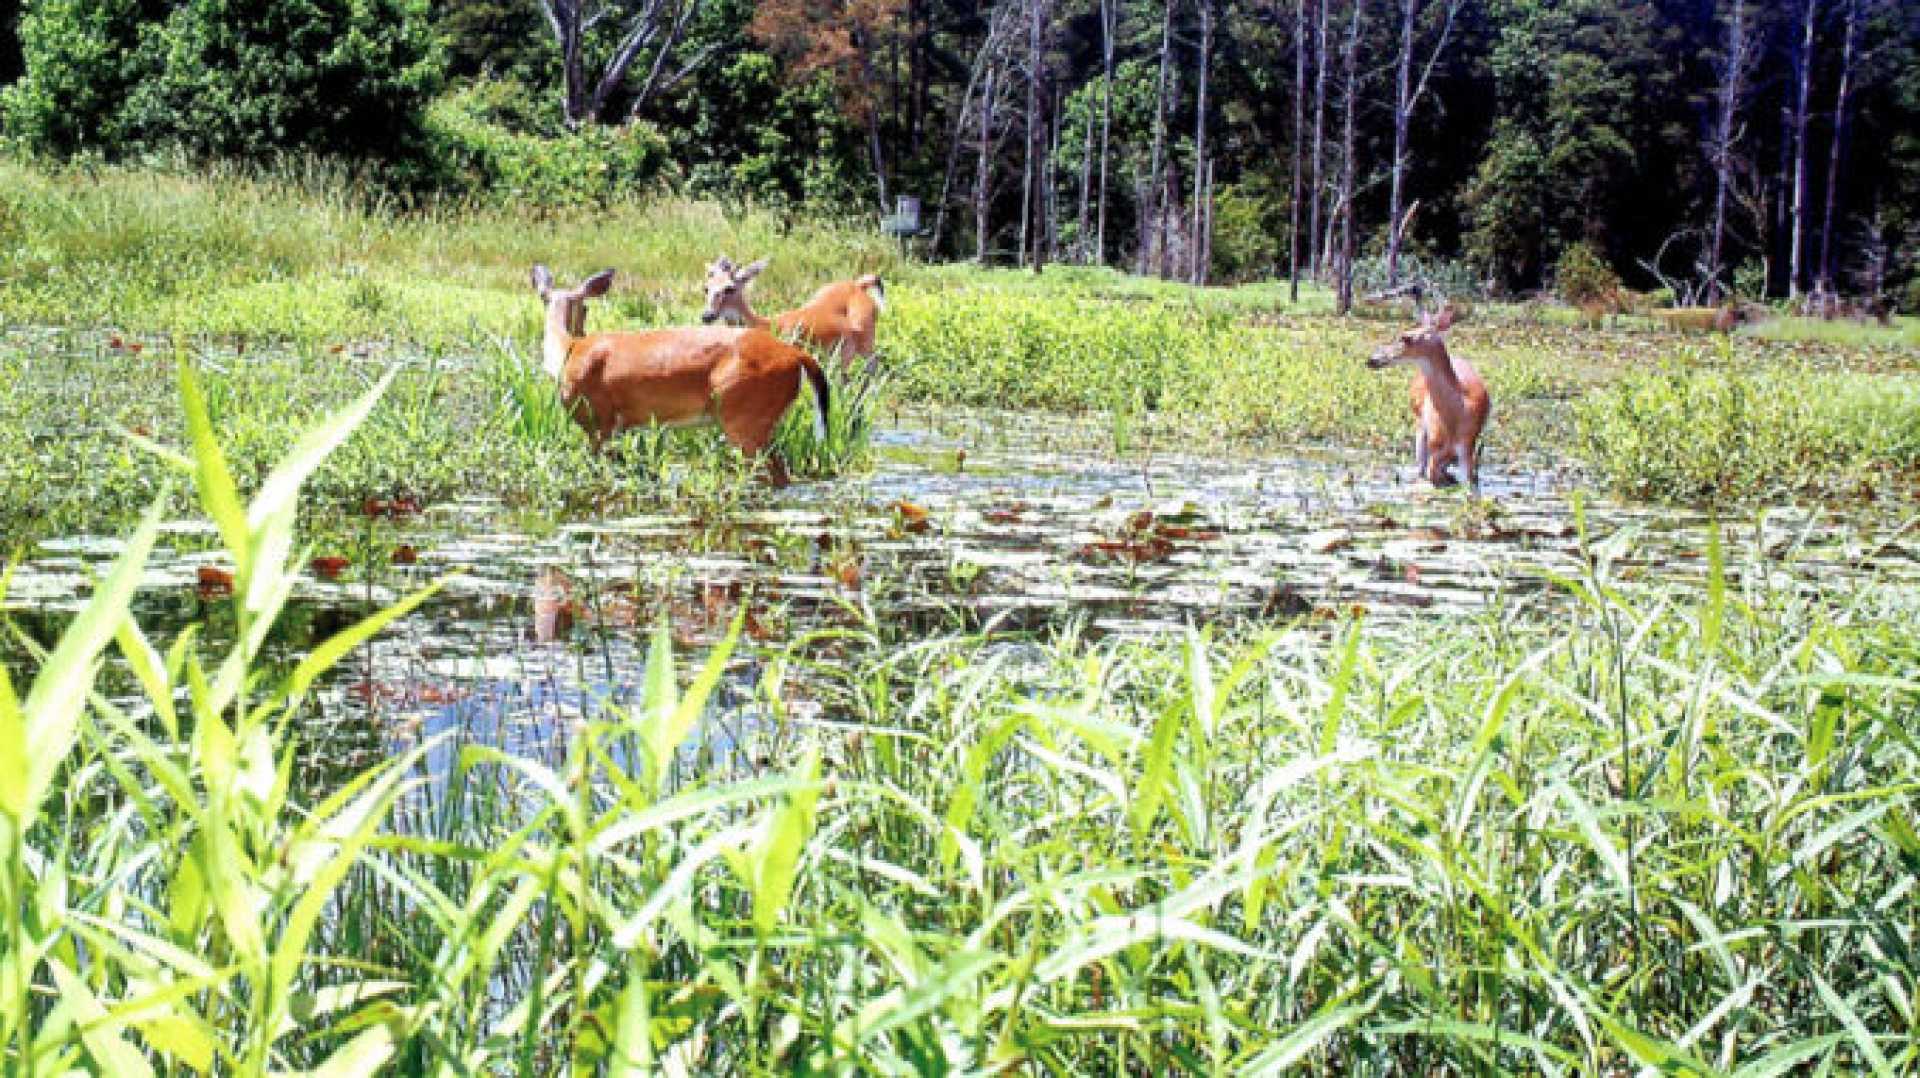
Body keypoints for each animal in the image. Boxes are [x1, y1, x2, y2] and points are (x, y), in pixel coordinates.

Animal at [529, 263, 829, 486]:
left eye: (583, 305)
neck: (568, 350)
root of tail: (798, 356)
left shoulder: (597, 420)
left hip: (745, 415)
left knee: (771, 472)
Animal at [702, 255, 887, 361]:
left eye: (729, 288)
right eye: (706, 288)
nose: (707, 315)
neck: (767, 326)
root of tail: (859, 286)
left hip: (864, 340)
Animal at [1367, 299, 1497, 490]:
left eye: (1406, 337)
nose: (1372, 359)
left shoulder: (1467, 443)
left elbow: (1469, 481)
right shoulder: (1435, 443)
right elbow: (1432, 475)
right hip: (1420, 425)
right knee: (1421, 467)